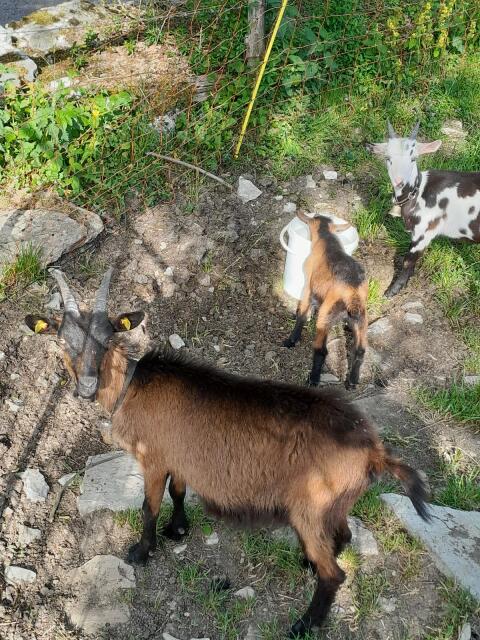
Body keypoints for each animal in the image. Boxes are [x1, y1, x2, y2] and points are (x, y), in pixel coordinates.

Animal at [25, 268, 429, 639]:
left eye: (108, 338)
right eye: (62, 340)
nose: (86, 386)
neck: (132, 384)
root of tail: (374, 451)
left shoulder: (153, 458)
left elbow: (149, 506)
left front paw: (141, 551)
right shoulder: (179, 456)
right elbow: (178, 492)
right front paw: (178, 529)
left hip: (310, 507)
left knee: (336, 574)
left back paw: (303, 624)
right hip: (333, 504)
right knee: (342, 536)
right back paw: (307, 564)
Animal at [283, 211, 369, 390]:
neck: (328, 240)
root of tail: (353, 294)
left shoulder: (307, 287)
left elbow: (302, 313)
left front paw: (292, 340)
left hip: (326, 316)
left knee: (321, 349)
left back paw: (313, 379)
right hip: (362, 320)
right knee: (360, 351)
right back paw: (352, 382)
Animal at [368, 121, 480, 297]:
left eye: (414, 158)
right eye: (387, 158)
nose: (399, 181)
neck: (418, 191)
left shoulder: (424, 232)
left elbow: (408, 262)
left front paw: (392, 291)